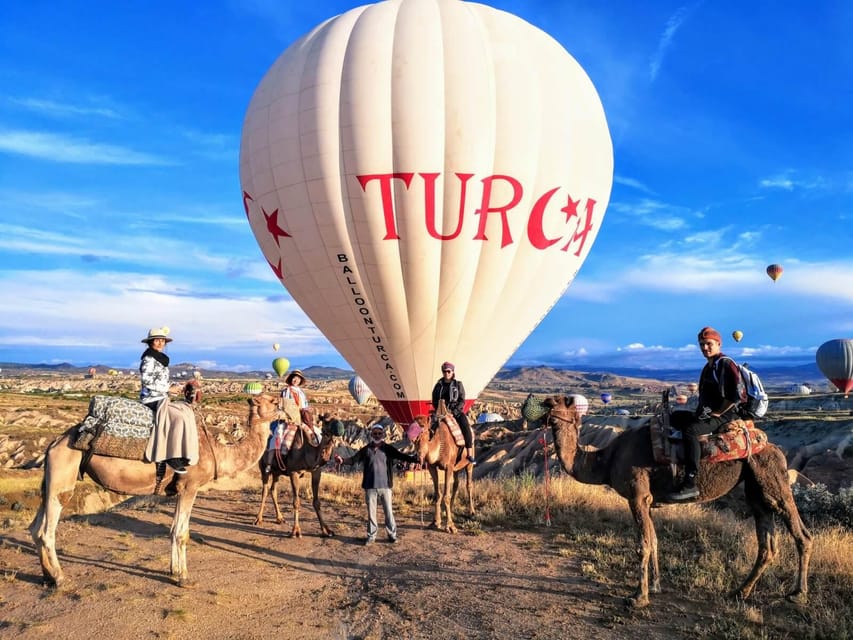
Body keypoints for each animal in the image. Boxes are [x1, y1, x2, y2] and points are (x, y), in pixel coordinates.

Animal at [30, 392, 282, 588]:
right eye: (274, 401)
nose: (286, 412)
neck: (216, 451)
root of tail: (54, 443)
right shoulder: (190, 486)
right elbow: (182, 533)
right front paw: (184, 578)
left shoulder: (179, 489)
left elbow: (173, 530)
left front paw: (173, 571)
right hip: (64, 470)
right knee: (47, 530)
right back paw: (60, 578)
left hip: (51, 479)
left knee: (34, 527)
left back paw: (47, 577)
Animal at [544, 392, 808, 608]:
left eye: (562, 401)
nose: (545, 402)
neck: (606, 460)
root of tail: (771, 446)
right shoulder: (649, 501)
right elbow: (654, 540)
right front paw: (655, 586)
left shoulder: (637, 496)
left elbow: (643, 545)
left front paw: (638, 597)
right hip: (756, 490)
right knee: (767, 543)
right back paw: (740, 592)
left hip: (773, 478)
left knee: (800, 533)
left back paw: (797, 594)